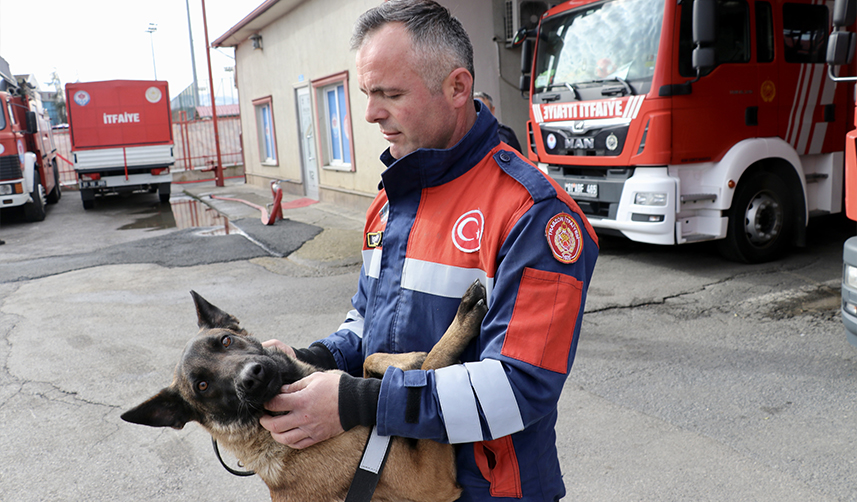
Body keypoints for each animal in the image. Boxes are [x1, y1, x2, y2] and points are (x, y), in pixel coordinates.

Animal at [118, 282, 488, 502]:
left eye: (225, 341)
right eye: (203, 386)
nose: (252, 377)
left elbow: (369, 361)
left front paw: (405, 359)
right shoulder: (431, 480)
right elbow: (434, 365)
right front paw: (460, 323)